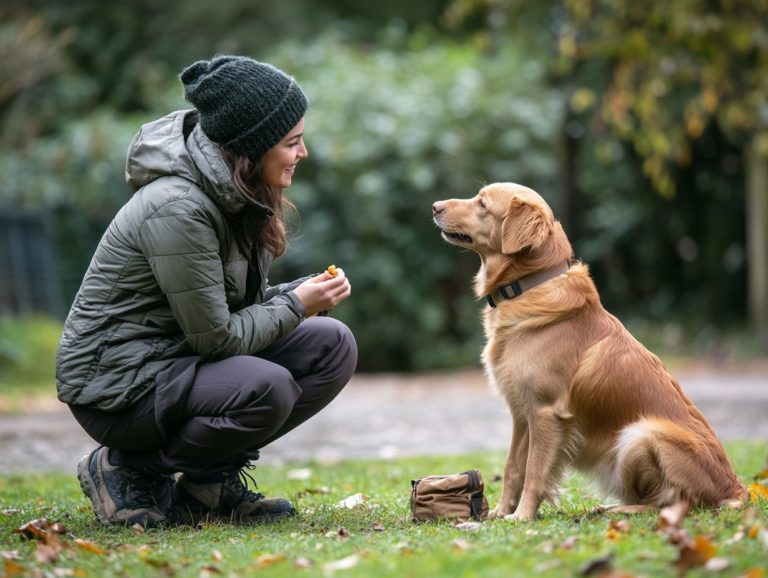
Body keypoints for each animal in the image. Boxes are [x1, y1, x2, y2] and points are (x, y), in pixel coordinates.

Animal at [436, 182, 748, 520]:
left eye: (482, 204)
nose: (435, 206)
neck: (529, 285)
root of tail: (733, 490)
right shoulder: (521, 413)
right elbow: (513, 467)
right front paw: (499, 514)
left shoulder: (545, 413)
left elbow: (534, 471)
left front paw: (522, 516)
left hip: (639, 433)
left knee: (672, 503)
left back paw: (617, 509)